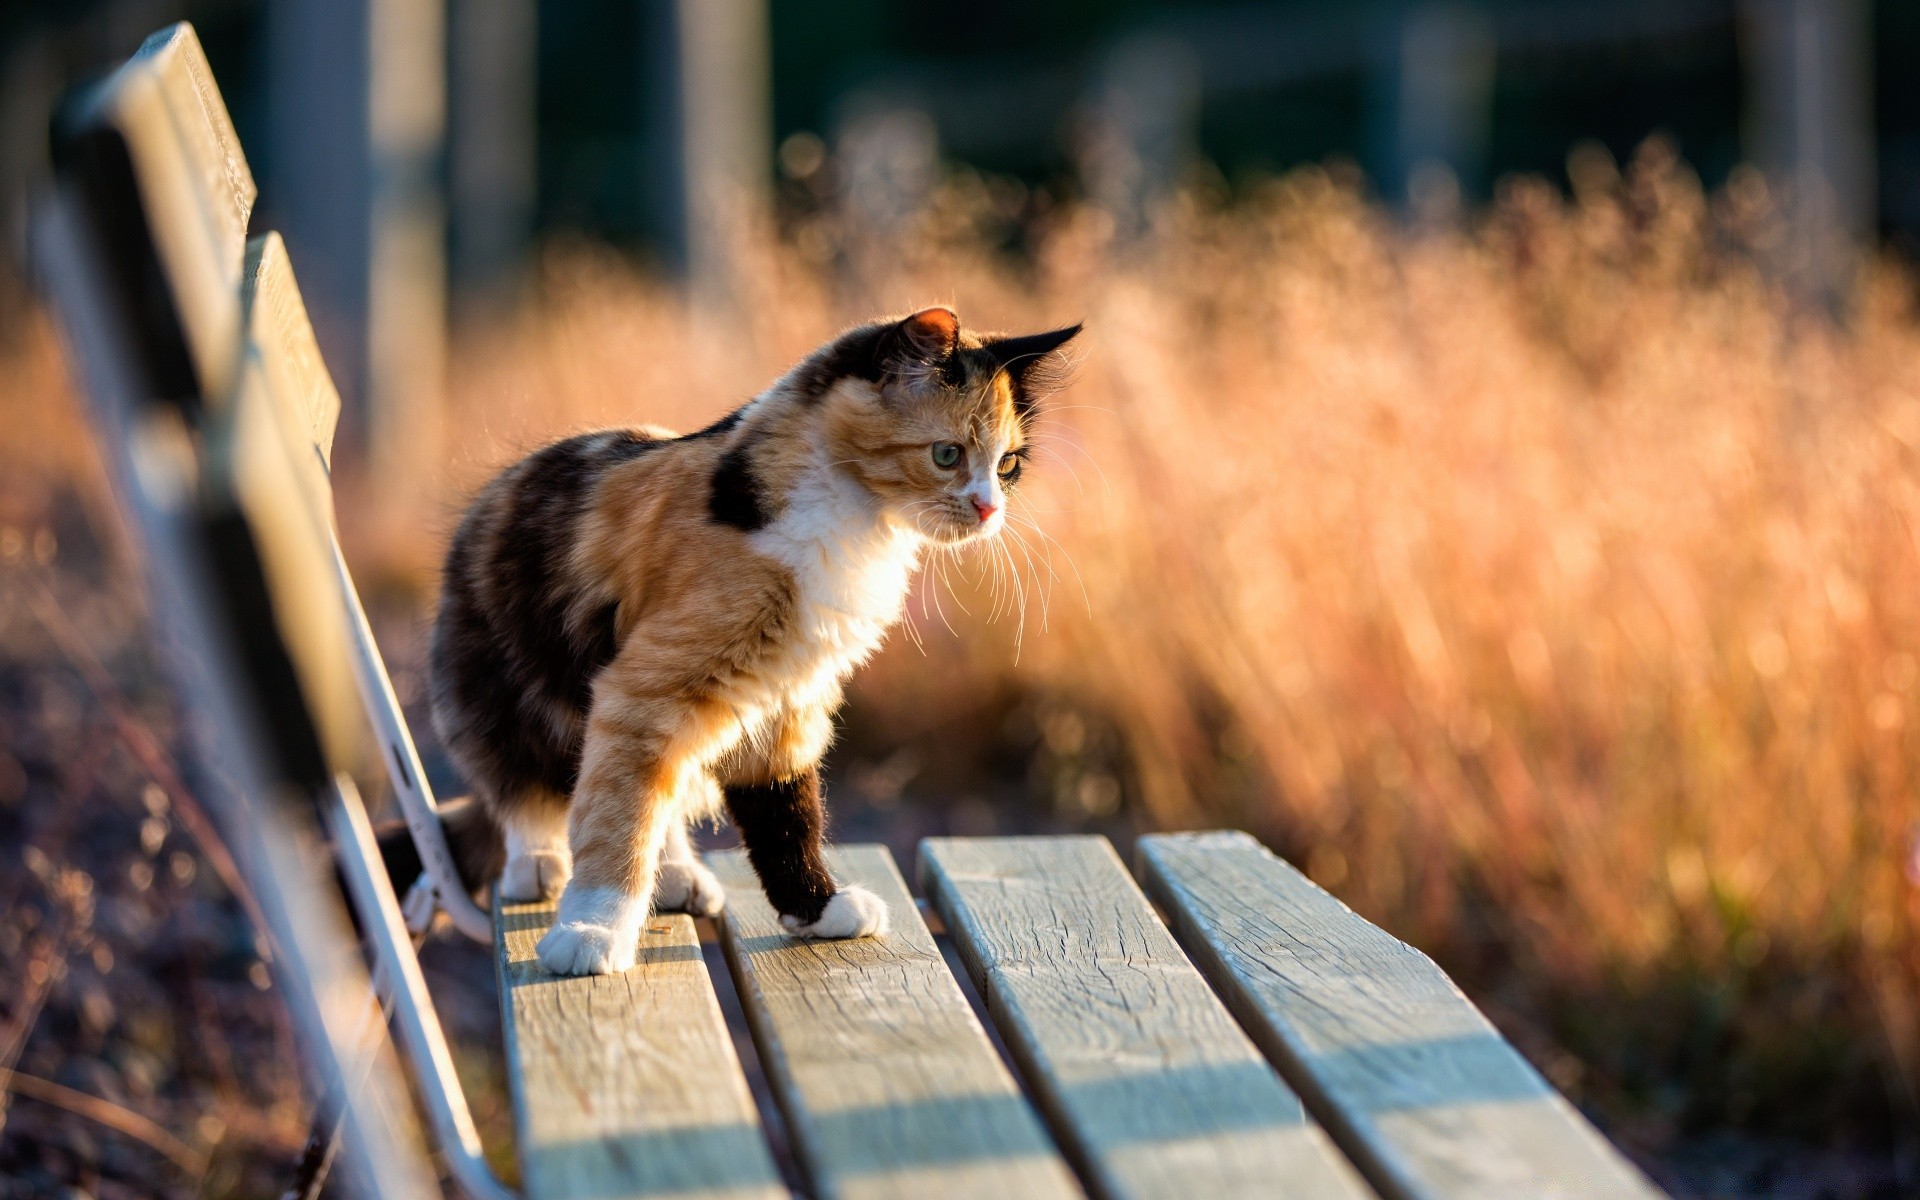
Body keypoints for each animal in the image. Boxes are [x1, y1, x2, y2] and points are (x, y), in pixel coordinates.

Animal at [424, 309, 1082, 975]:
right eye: (947, 454)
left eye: (1008, 465)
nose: (989, 510)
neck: (850, 522)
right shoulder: (643, 691)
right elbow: (616, 818)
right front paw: (592, 929)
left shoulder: (787, 694)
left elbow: (785, 811)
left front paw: (817, 908)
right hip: (506, 691)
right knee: (530, 787)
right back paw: (537, 865)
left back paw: (674, 875)